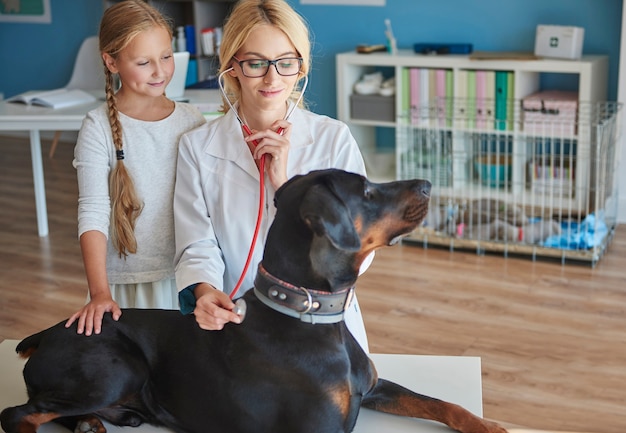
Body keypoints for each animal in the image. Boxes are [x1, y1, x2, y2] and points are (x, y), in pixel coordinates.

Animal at [1, 169, 508, 432]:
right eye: (366, 190)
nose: (427, 184)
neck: (311, 317)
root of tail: (49, 331)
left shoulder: (373, 386)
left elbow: (442, 403)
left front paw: (490, 427)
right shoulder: (320, 428)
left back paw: (93, 423)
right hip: (116, 368)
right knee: (17, 413)